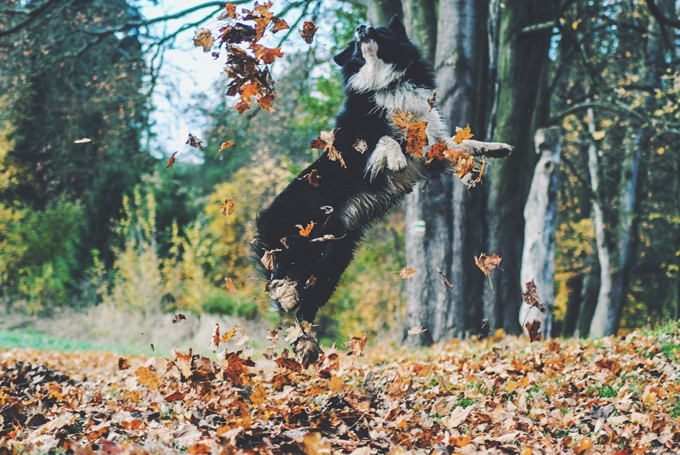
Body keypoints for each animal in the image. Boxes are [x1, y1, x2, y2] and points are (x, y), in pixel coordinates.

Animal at [254, 16, 510, 360]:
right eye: (355, 44)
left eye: (378, 30)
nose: (361, 27)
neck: (387, 84)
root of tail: (263, 219)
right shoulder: (358, 154)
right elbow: (387, 140)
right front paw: (398, 160)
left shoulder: (431, 150)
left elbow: (462, 145)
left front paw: (495, 149)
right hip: (304, 246)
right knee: (278, 282)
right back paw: (287, 298)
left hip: (330, 261)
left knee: (303, 310)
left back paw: (308, 346)